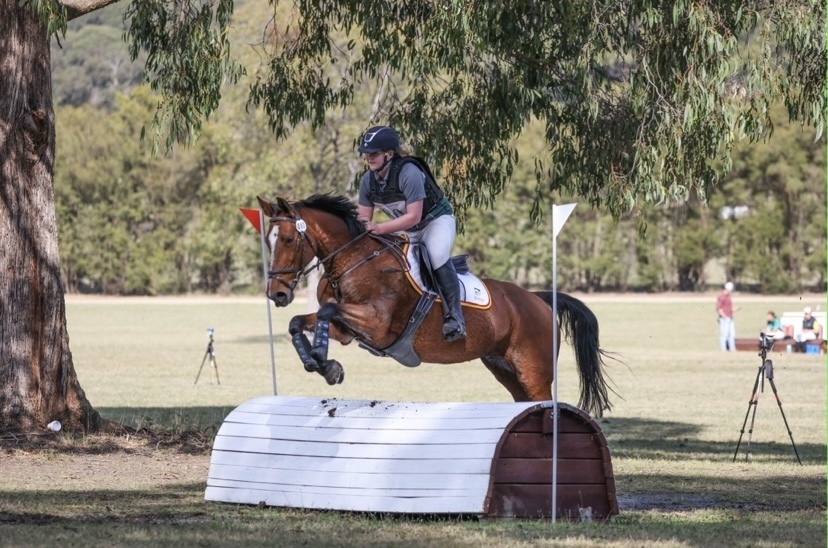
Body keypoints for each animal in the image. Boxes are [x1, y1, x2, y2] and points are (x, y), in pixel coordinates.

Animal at [257, 194, 613, 417]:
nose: (277, 294)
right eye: (267, 242)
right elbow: (300, 322)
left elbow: (326, 312)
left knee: (544, 403)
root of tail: (538, 299)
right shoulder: (347, 331)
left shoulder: (376, 324)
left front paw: (323, 361)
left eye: (288, 239)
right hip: (504, 368)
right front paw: (321, 363)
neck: (351, 260)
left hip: (534, 371)